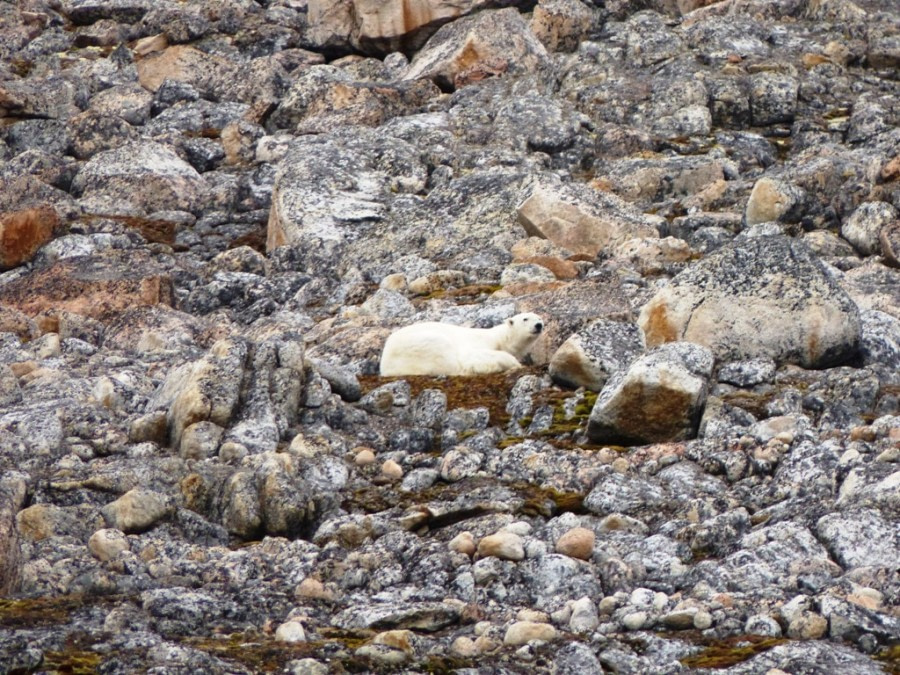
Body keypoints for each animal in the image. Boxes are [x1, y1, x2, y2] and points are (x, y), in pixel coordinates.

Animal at [378, 312, 544, 378]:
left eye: (539, 317)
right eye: (525, 318)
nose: (539, 325)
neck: (501, 338)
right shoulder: (479, 342)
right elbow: (472, 356)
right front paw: (514, 363)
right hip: (421, 345)